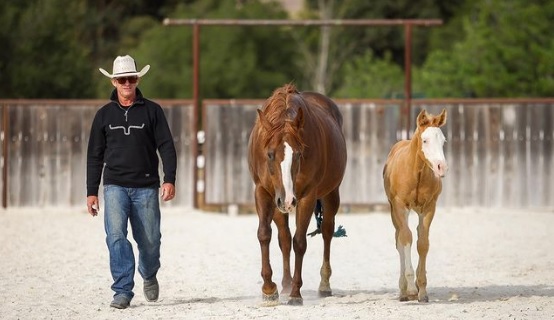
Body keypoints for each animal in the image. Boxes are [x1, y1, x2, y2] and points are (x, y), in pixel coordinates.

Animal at [247, 82, 344, 304]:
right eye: (270, 154)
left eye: (299, 154)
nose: (288, 200)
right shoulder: (264, 192)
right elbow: (265, 234)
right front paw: (269, 288)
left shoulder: (307, 196)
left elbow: (300, 242)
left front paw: (295, 293)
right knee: (284, 237)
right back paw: (285, 284)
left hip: (330, 194)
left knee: (327, 231)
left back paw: (324, 284)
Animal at [382, 109, 446, 302]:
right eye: (425, 140)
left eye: (443, 141)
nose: (441, 167)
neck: (415, 173)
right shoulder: (400, 206)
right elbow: (406, 239)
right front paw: (410, 289)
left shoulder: (429, 207)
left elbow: (423, 243)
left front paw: (422, 290)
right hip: (394, 211)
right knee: (399, 239)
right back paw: (404, 290)